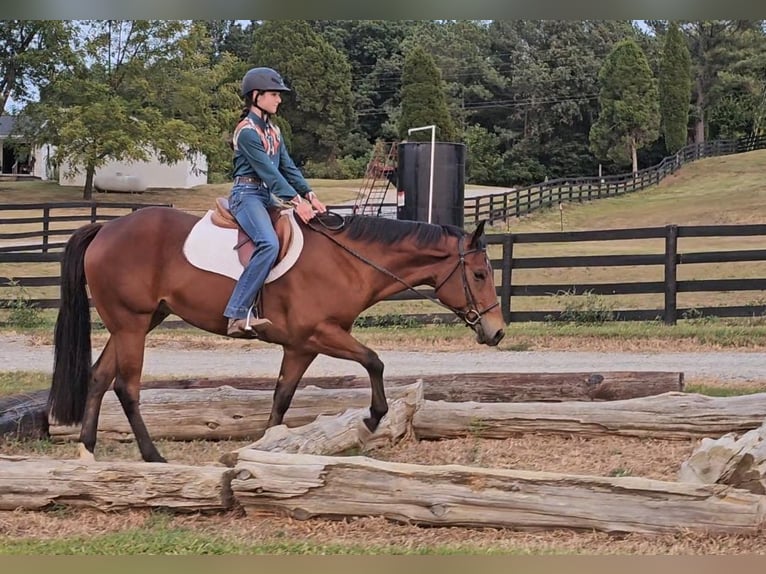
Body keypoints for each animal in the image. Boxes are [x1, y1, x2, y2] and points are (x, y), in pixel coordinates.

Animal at [46, 207, 504, 464]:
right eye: (480, 274)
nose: (497, 332)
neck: (347, 262)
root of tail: (105, 229)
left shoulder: (300, 347)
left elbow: (282, 397)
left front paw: (265, 449)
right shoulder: (319, 334)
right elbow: (374, 360)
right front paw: (374, 416)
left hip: (137, 322)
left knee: (99, 378)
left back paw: (87, 450)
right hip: (132, 323)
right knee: (126, 386)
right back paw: (152, 455)